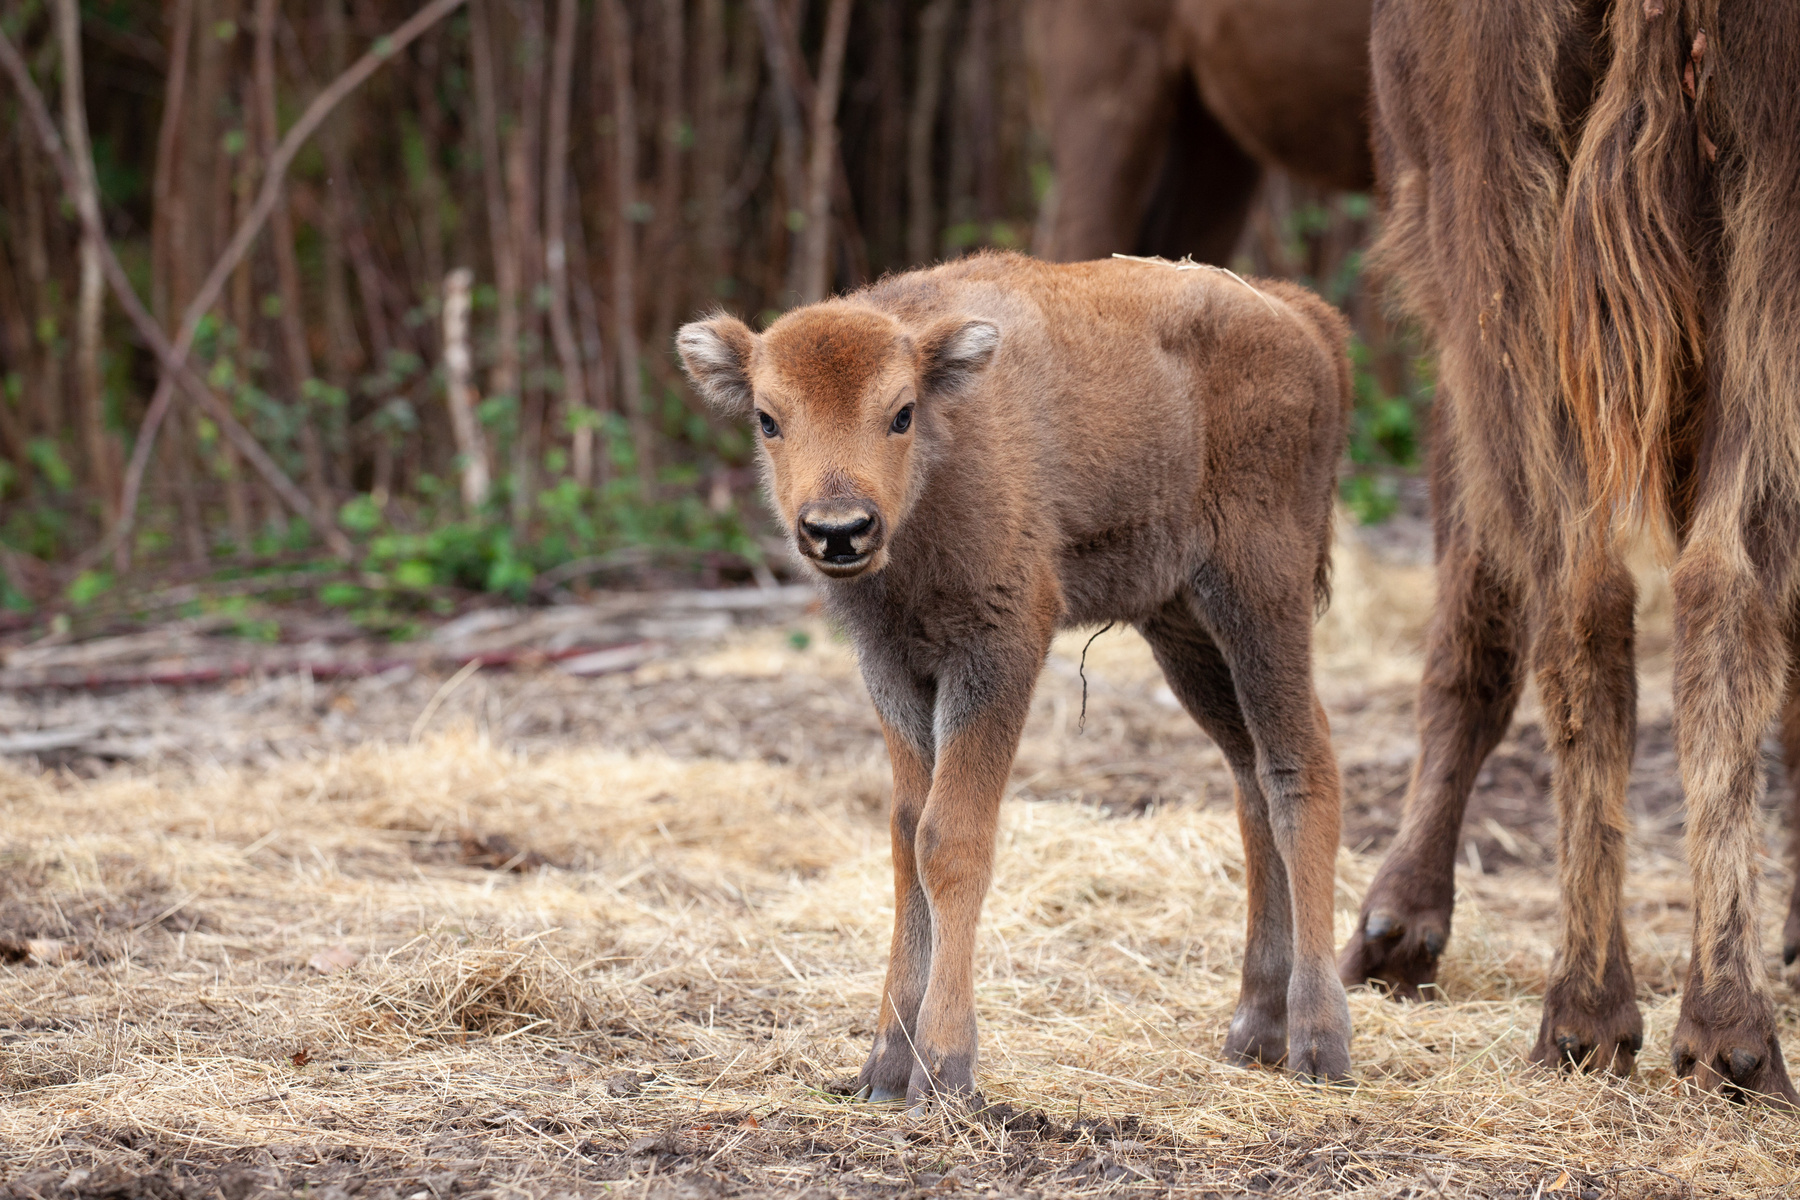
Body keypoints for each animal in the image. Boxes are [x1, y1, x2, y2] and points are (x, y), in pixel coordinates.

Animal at [680, 253, 1353, 1108]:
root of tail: (1298, 316)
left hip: (1259, 594)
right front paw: (883, 1065)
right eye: (768, 419)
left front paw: (942, 1068)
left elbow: (951, 838)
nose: (839, 530)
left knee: (1302, 768)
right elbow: (906, 837)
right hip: (1182, 628)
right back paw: (1253, 1030)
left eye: (900, 413)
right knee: (1250, 781)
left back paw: (1321, 1043)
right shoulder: (892, 667)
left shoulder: (1000, 650)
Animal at [1346, 0, 1800, 1108]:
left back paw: (1589, 1015)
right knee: (1716, 589)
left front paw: (1393, 931)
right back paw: (1725, 1033)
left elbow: (1469, 624)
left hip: (1505, 264)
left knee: (1579, 596)